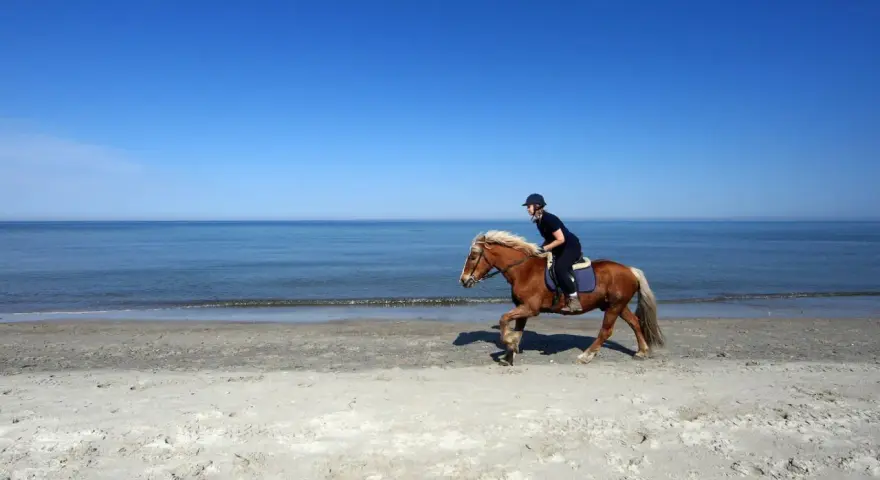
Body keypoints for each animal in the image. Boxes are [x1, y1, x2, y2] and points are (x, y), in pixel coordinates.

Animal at [459, 230, 664, 366]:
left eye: (473, 256)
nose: (463, 280)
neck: (523, 270)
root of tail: (630, 270)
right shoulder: (523, 309)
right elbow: (517, 331)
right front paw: (510, 354)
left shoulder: (530, 308)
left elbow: (503, 320)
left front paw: (508, 344)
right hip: (617, 305)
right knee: (635, 323)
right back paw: (642, 351)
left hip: (614, 307)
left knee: (606, 331)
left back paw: (586, 356)